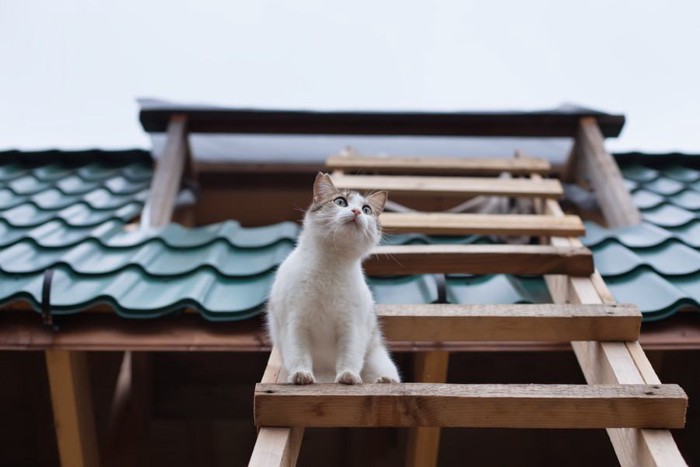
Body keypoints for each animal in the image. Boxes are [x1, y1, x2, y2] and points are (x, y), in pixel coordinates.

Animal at [266, 174, 402, 386]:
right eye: (340, 202)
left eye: (366, 209)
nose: (356, 211)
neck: (331, 264)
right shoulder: (294, 323)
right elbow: (298, 354)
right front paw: (301, 375)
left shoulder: (352, 325)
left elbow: (349, 356)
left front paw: (348, 376)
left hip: (377, 360)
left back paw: (384, 381)